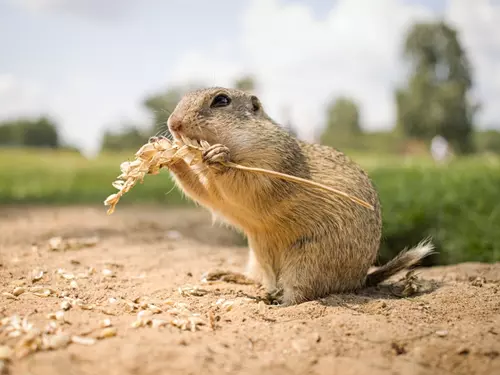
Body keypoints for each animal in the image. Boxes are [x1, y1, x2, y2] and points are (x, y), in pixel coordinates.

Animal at [165, 86, 434, 306]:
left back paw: (274, 301)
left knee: (299, 295)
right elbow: (205, 193)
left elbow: (249, 183)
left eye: (221, 100)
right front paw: (172, 156)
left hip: (307, 263)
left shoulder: (273, 162)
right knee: (257, 278)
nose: (173, 123)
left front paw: (219, 156)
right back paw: (226, 275)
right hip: (258, 258)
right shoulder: (215, 192)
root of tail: (358, 279)